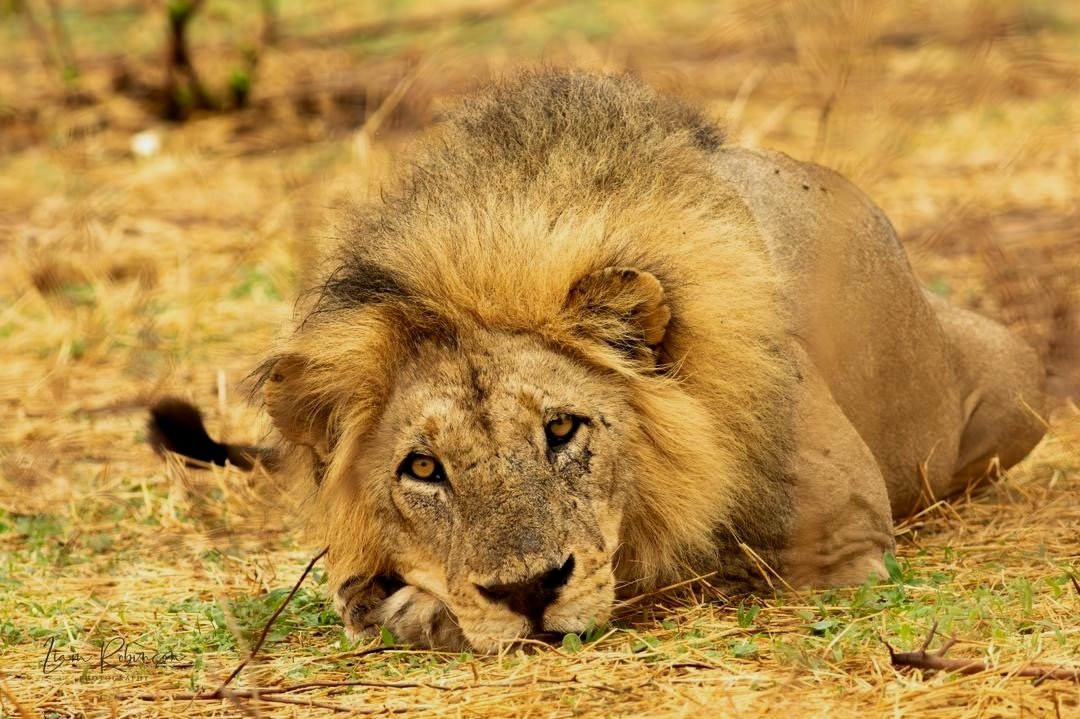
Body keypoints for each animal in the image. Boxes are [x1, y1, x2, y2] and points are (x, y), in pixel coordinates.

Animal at [149, 71, 1046, 653]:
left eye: (562, 428)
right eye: (423, 468)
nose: (525, 591)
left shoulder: (842, 535)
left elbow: (667, 562)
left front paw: (435, 613)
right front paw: (410, 604)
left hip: (1018, 381)